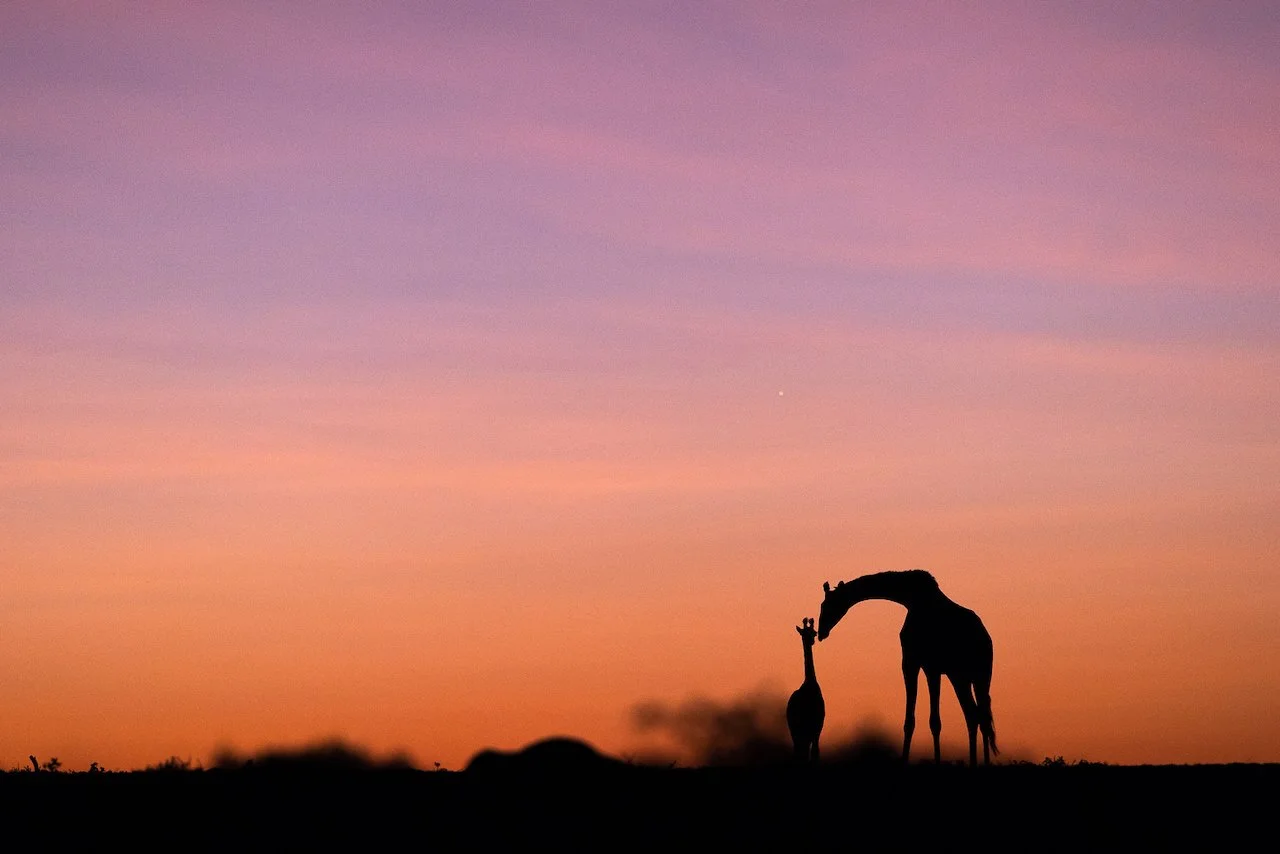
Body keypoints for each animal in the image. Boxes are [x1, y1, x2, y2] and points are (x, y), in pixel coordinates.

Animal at [786, 617, 825, 764]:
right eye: (804, 633)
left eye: (814, 632)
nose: (812, 641)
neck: (810, 683)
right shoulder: (816, 727)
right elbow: (814, 753)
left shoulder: (816, 727)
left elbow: (813, 753)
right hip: (797, 729)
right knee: (799, 751)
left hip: (799, 730)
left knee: (800, 751)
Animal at [818, 570, 998, 767]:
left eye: (827, 605)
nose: (821, 632)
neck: (909, 598)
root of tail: (985, 639)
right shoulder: (924, 666)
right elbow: (919, 720)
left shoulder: (920, 665)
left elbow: (929, 721)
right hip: (970, 677)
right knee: (977, 715)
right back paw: (980, 762)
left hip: (967, 676)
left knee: (976, 715)